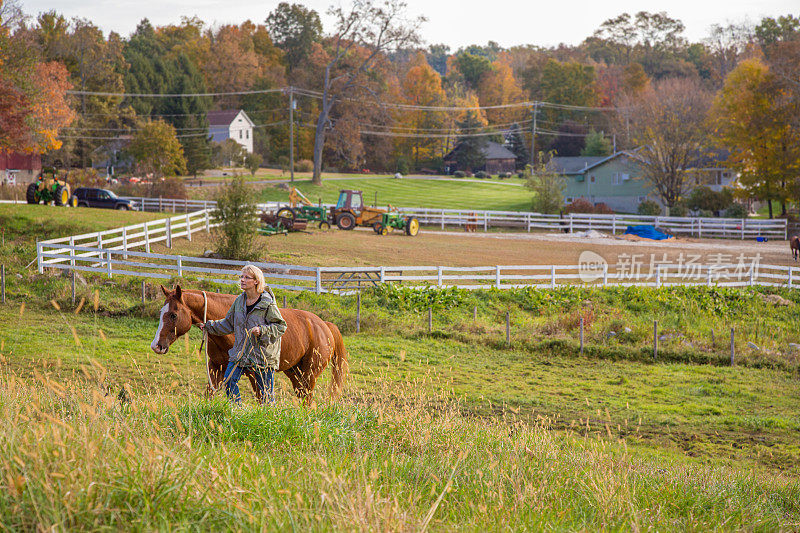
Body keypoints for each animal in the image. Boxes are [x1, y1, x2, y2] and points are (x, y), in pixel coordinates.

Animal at [152, 286, 346, 404]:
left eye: (173, 315)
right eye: (161, 312)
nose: (157, 345)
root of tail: (324, 326)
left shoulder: (255, 373)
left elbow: (262, 399)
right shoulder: (217, 368)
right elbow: (210, 395)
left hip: (308, 375)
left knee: (308, 400)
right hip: (295, 374)